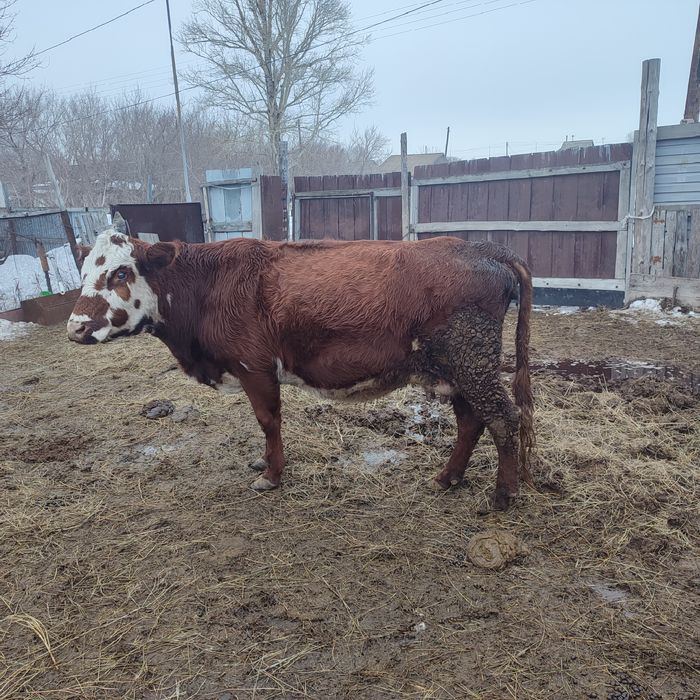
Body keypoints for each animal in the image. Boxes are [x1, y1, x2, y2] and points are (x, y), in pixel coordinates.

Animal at [67, 230, 534, 510]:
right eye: (84, 271)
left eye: (121, 272)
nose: (76, 327)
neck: (207, 285)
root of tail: (486, 249)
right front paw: (263, 463)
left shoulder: (255, 368)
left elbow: (268, 420)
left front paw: (272, 475)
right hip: (456, 369)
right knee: (472, 421)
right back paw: (448, 477)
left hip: (472, 362)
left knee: (503, 418)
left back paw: (503, 493)